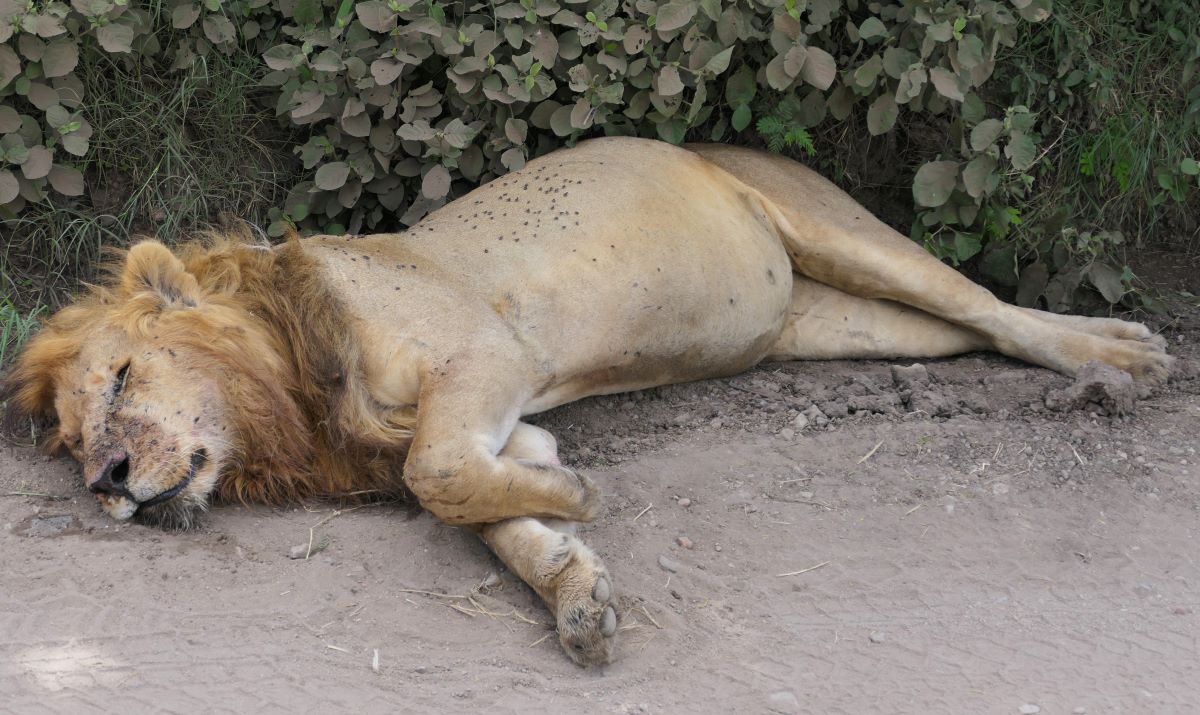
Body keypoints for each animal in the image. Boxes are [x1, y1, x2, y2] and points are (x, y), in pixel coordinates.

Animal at [2, 137, 1171, 667]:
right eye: (71, 443)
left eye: (122, 380)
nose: (107, 484)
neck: (295, 377)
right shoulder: (504, 418)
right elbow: (485, 508)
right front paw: (575, 579)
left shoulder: (486, 354)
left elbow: (437, 473)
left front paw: (581, 500)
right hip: (838, 318)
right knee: (971, 327)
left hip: (838, 232)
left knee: (990, 304)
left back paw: (1121, 357)